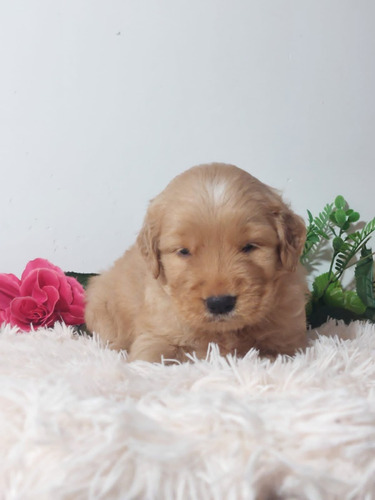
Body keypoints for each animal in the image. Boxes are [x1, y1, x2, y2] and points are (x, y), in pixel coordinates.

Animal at [86, 164, 308, 364]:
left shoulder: (287, 342)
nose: (220, 303)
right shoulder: (155, 336)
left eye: (249, 246)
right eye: (184, 251)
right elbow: (150, 361)